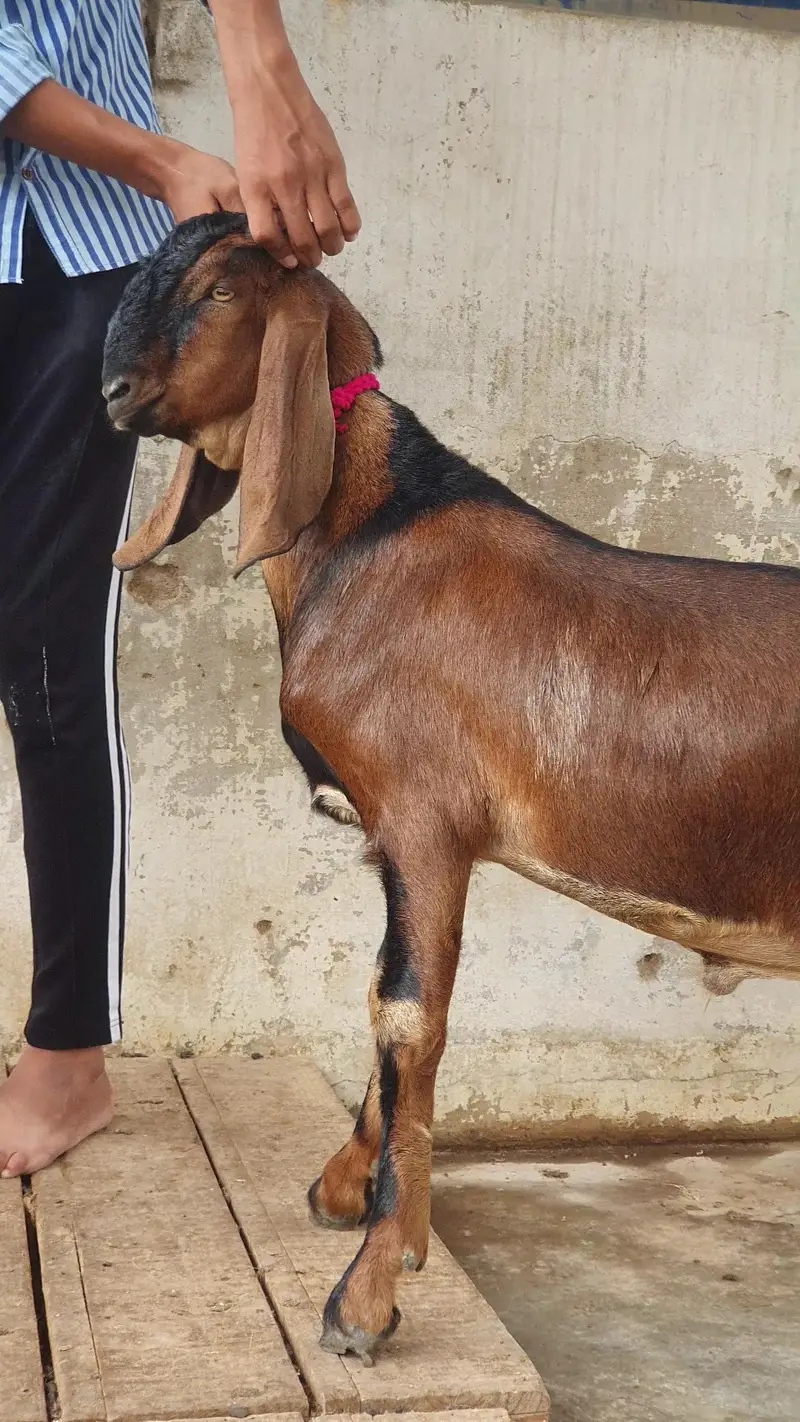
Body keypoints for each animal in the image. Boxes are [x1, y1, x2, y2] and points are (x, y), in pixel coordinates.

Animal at [102, 212, 800, 1365]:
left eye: (219, 292)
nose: (111, 390)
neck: (376, 533)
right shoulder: (399, 842)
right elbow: (384, 999)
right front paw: (346, 1188)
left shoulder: (427, 822)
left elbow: (405, 1017)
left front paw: (366, 1296)